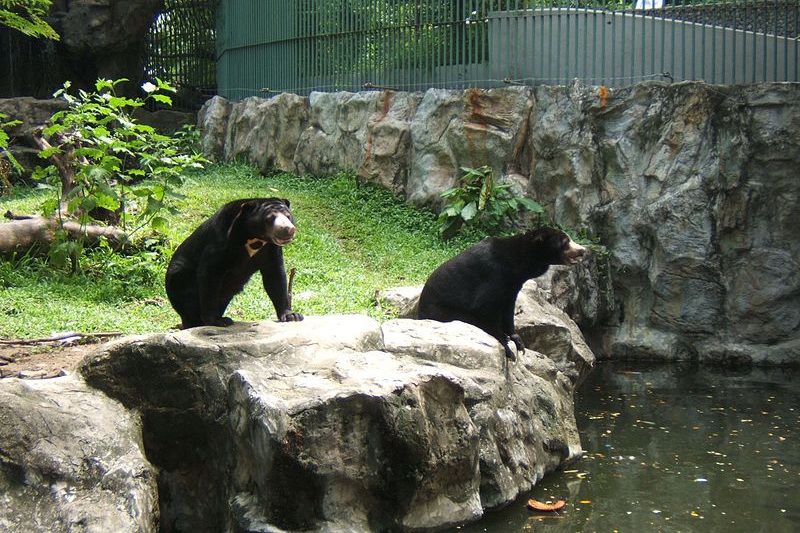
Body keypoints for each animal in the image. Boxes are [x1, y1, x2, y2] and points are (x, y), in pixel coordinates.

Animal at [166, 196, 304, 328]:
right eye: (270, 218)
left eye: (288, 216)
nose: (289, 229)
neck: (254, 238)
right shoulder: (221, 242)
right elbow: (210, 274)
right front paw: (217, 321)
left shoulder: (271, 249)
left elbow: (275, 278)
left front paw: (292, 315)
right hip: (180, 279)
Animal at [418, 227, 588, 360]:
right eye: (566, 242)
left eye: (569, 239)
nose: (583, 250)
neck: (519, 265)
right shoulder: (494, 275)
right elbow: (483, 308)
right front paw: (506, 346)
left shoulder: (511, 288)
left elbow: (508, 311)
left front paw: (518, 341)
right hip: (443, 311)